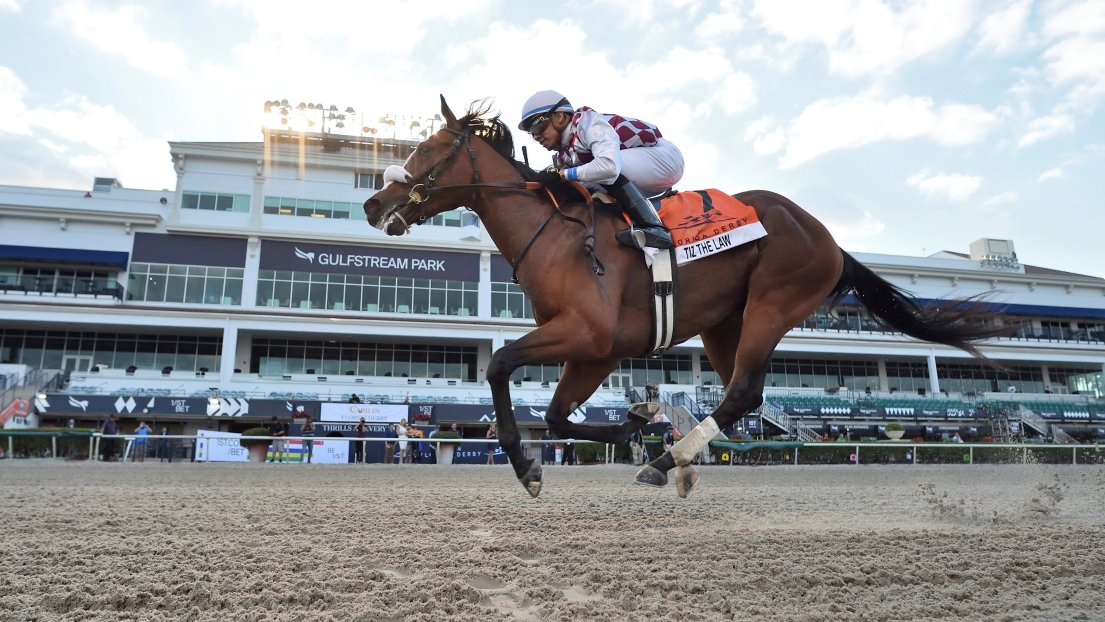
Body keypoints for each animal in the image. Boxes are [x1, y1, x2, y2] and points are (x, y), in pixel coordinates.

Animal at [362, 97, 1012, 499]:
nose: (372, 203)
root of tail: (826, 235)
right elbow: (555, 414)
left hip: (773, 303)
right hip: (725, 322)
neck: (554, 233)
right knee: (743, 395)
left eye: (427, 149)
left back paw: (665, 462)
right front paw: (634, 425)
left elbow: (500, 365)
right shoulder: (596, 350)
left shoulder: (588, 333)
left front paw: (529, 468)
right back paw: (672, 458)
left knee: (744, 391)